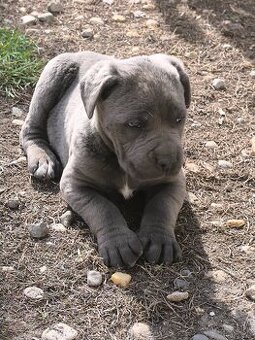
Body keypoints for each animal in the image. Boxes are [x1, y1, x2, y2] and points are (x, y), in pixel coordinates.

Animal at [20, 51, 190, 266]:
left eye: (179, 119)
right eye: (134, 124)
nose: (169, 161)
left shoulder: (174, 181)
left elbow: (161, 206)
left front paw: (158, 239)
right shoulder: (75, 184)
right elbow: (103, 208)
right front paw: (119, 244)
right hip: (50, 79)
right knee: (30, 128)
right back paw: (43, 159)